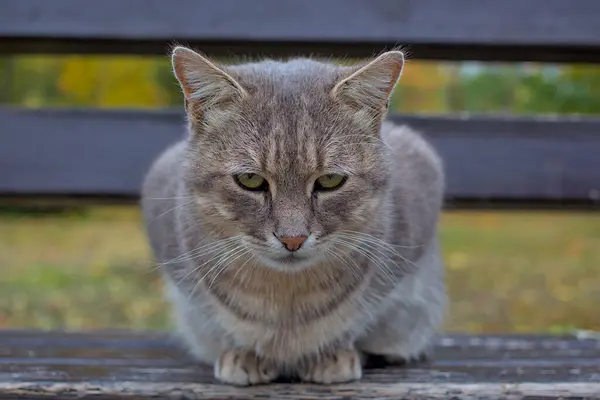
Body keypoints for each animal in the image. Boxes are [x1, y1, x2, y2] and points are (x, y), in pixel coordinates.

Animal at [142, 45, 446, 386]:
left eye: (330, 181)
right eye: (250, 180)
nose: (292, 239)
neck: (285, 299)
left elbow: (356, 318)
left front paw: (332, 353)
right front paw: (244, 352)